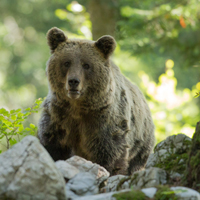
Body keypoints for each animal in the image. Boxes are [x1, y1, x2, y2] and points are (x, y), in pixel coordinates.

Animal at [38, 27, 155, 175]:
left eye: (86, 65)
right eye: (66, 62)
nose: (73, 81)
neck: (78, 107)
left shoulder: (103, 120)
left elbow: (110, 152)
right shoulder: (58, 116)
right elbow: (53, 146)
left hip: (142, 141)